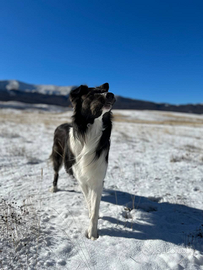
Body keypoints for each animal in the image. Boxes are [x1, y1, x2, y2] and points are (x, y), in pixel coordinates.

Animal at [49, 83, 116, 239]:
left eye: (105, 91)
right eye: (91, 94)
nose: (110, 95)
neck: (91, 131)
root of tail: (61, 125)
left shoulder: (97, 176)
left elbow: (95, 205)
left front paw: (93, 233)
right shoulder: (81, 177)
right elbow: (89, 201)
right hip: (57, 156)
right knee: (56, 172)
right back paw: (54, 187)